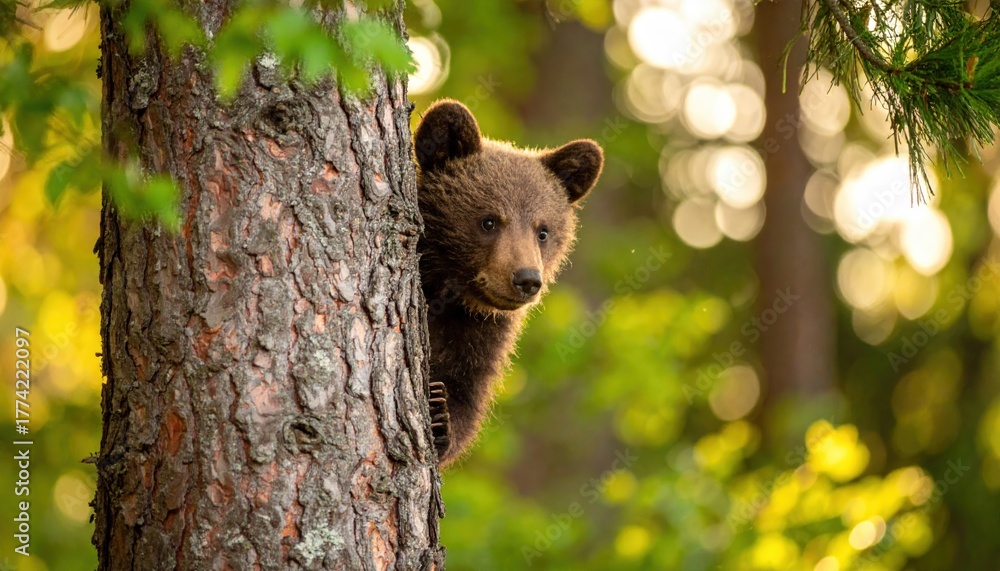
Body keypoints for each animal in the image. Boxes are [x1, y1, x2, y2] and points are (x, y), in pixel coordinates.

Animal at [413, 99, 604, 467]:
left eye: (543, 231)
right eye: (488, 221)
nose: (527, 279)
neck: (446, 292)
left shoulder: (478, 334)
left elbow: (467, 391)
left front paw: (441, 419)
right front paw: (436, 409)